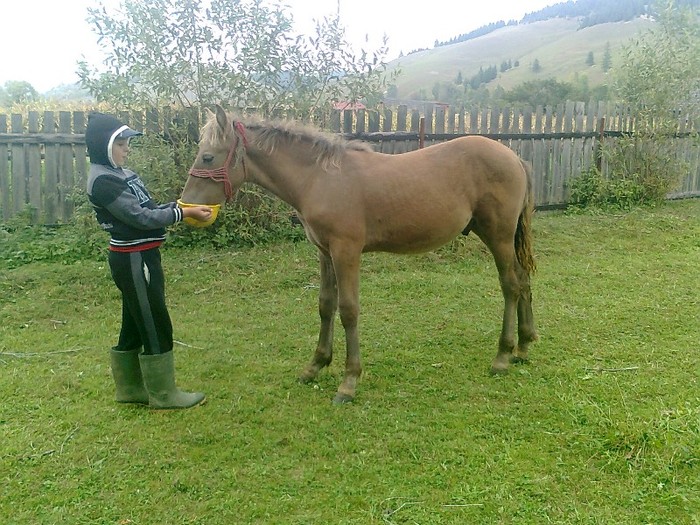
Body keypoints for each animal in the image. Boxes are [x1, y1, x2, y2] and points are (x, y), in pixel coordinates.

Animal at [180, 104, 536, 404]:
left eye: (208, 157)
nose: (187, 207)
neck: (320, 177)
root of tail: (515, 158)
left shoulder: (346, 251)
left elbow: (348, 310)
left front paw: (348, 382)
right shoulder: (325, 253)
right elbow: (325, 305)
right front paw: (315, 365)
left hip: (498, 236)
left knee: (510, 286)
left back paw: (503, 356)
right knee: (523, 280)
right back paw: (524, 346)